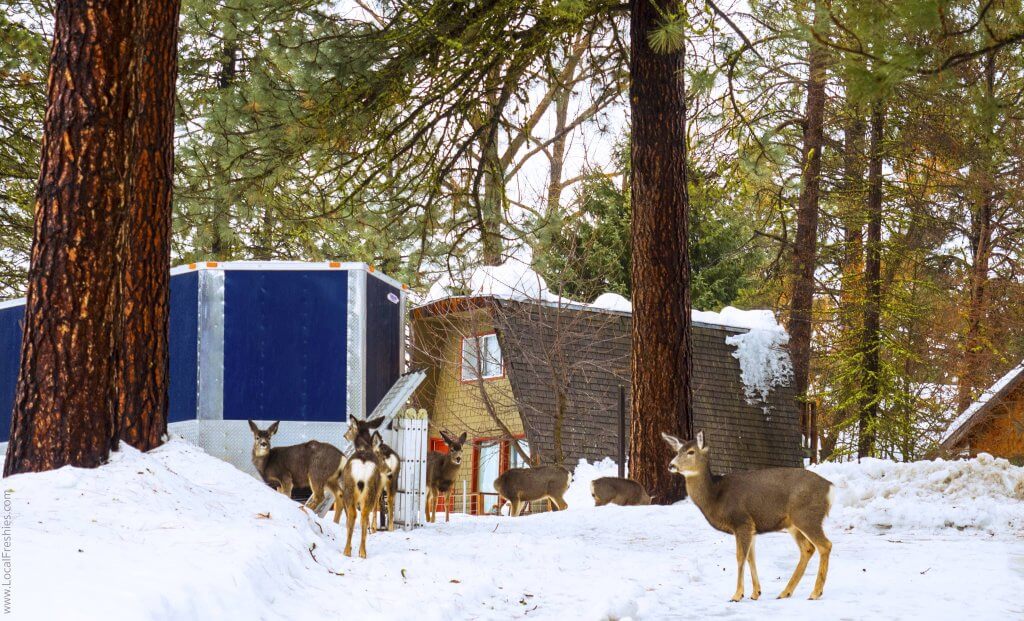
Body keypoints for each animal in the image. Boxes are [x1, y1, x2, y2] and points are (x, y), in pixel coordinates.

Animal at [339, 418, 385, 561]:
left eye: (350, 428)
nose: (344, 435)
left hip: (349, 490)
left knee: (354, 516)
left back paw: (348, 550)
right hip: (370, 491)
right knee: (364, 515)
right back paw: (362, 552)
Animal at [659, 430, 835, 602]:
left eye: (691, 451)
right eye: (677, 451)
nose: (671, 465)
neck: (716, 497)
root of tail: (829, 488)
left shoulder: (741, 521)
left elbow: (740, 557)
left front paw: (737, 595)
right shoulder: (752, 527)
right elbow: (751, 558)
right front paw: (756, 593)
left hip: (807, 516)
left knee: (825, 545)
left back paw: (815, 592)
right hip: (793, 523)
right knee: (808, 548)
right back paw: (785, 592)